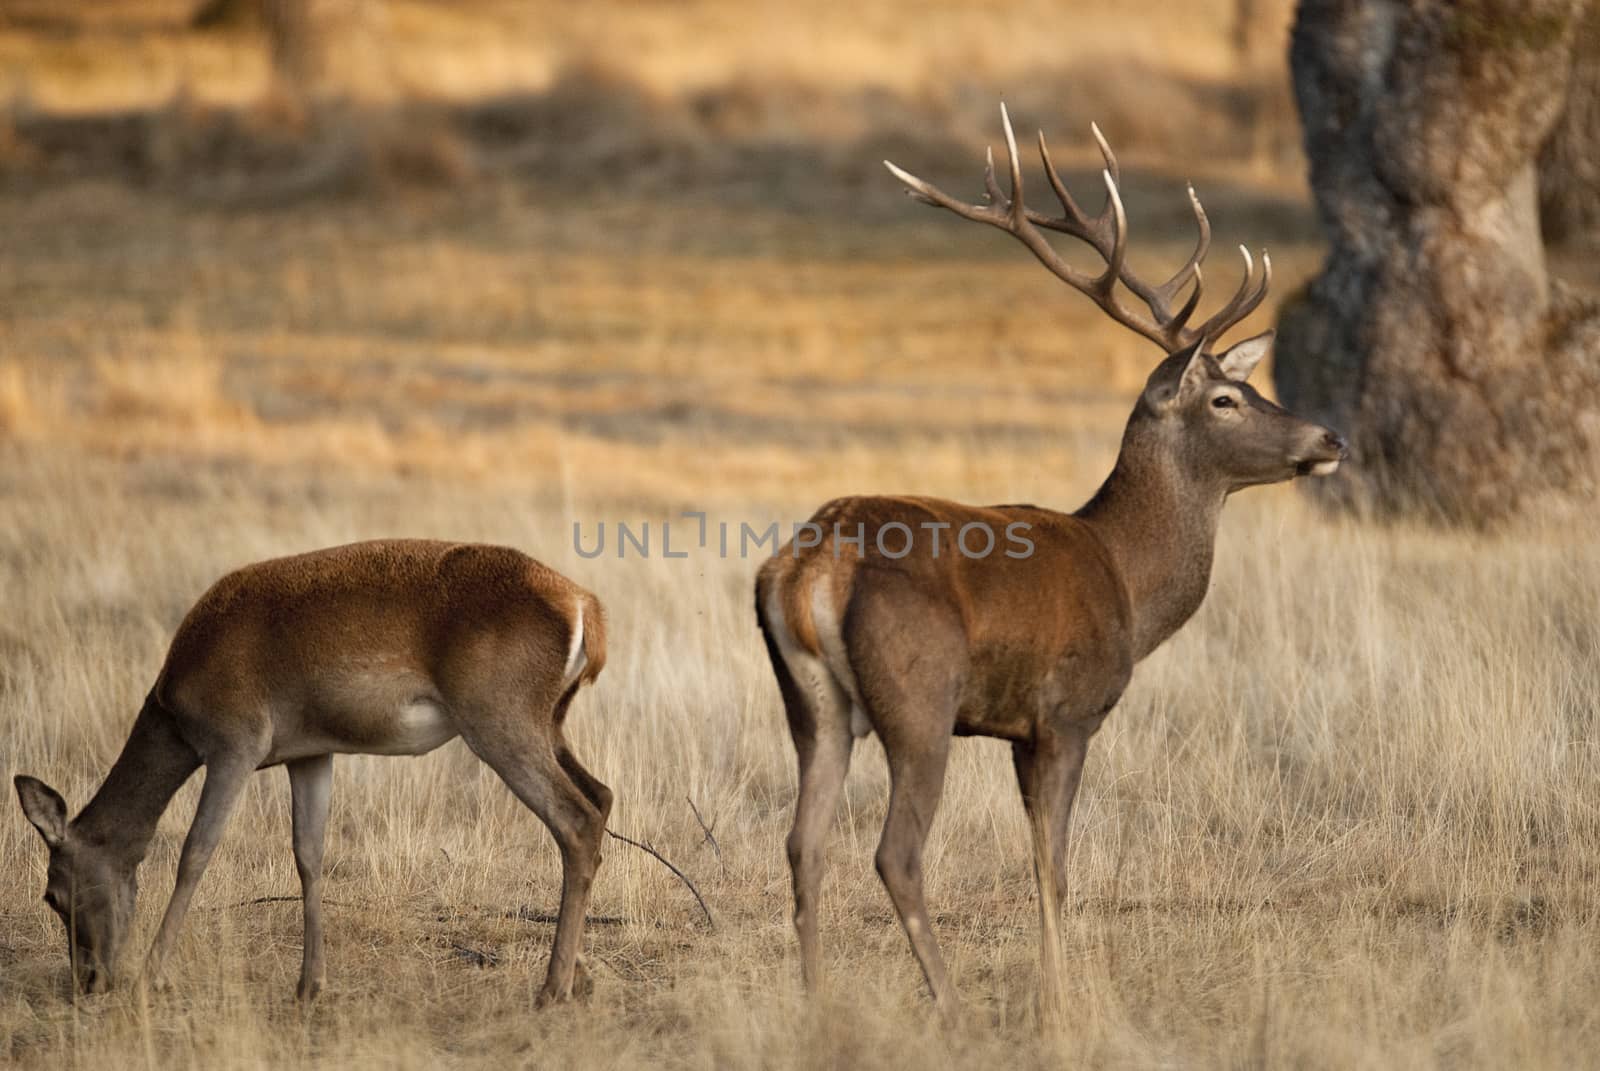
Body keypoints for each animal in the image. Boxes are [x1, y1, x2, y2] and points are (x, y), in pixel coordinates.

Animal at [14, 537, 611, 1005]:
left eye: (53, 893)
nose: (89, 980)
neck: (174, 707)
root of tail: (586, 608)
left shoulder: (235, 742)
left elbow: (195, 851)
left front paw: (150, 979)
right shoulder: (308, 753)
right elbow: (309, 854)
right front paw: (309, 985)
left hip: (497, 717)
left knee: (575, 817)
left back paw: (551, 988)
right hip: (548, 721)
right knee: (602, 795)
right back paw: (578, 976)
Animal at [755, 106, 1344, 1011]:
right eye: (1226, 399)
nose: (1329, 438)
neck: (1129, 584)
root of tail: (814, 566)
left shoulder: (1015, 729)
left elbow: (1040, 859)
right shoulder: (1065, 712)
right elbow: (1053, 866)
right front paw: (1060, 996)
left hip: (812, 704)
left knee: (802, 843)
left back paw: (818, 1001)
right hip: (919, 696)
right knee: (895, 852)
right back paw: (948, 1001)